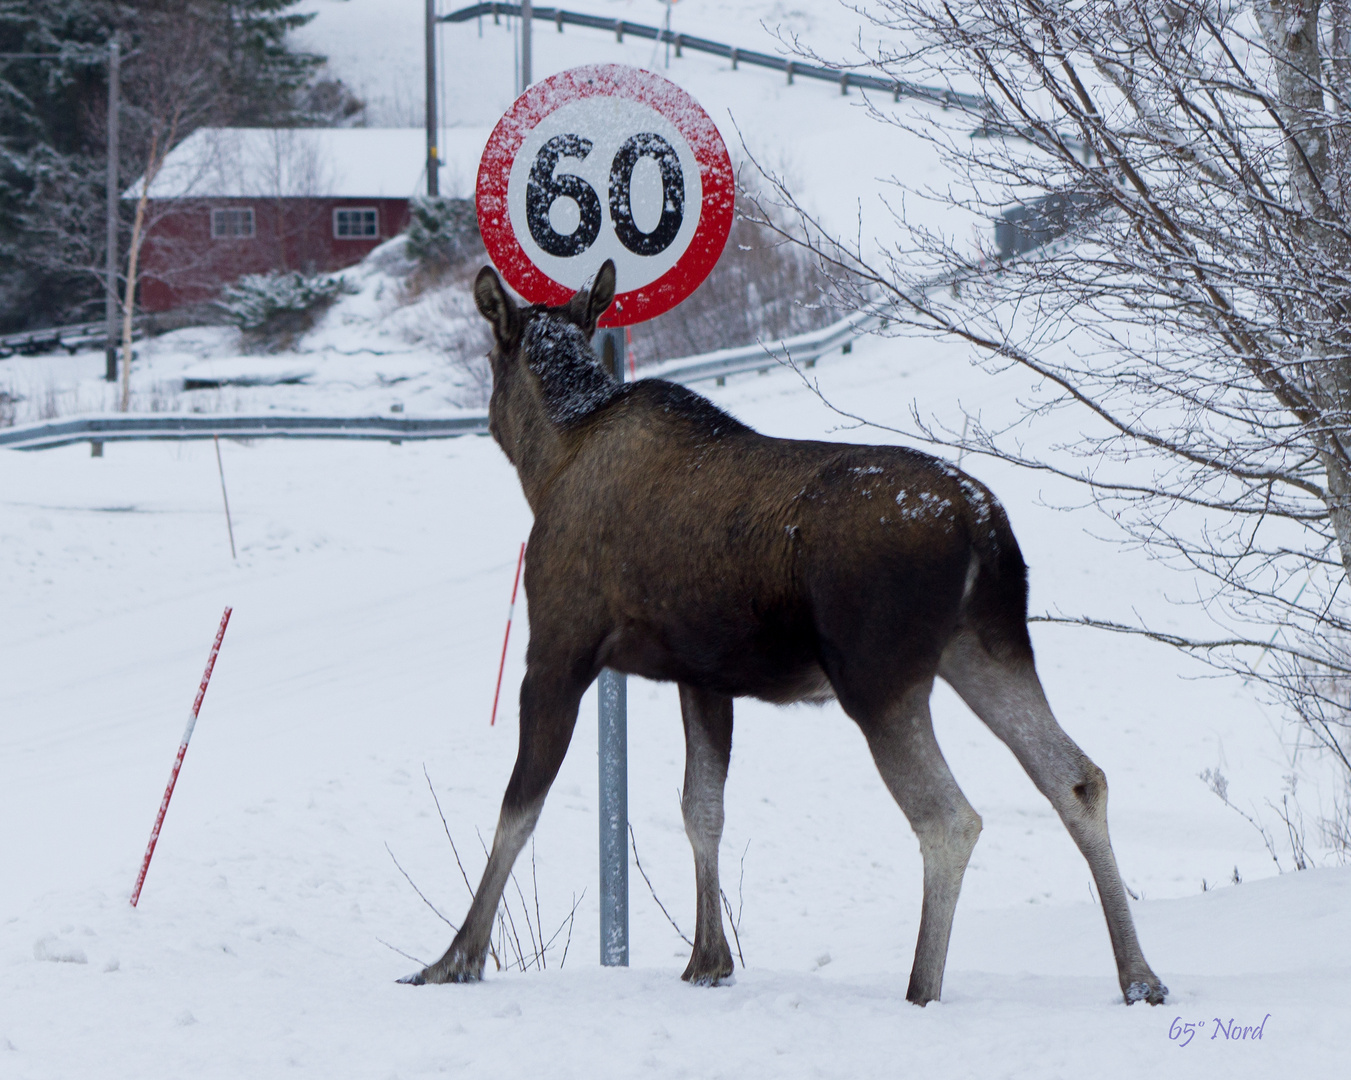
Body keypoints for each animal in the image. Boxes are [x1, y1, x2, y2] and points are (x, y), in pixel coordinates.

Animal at [397, 259, 1161, 1005]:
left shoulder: (558, 646)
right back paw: (1139, 977)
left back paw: (922, 987)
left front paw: (453, 961)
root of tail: (984, 526)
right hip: (986, 648)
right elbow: (701, 807)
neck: (548, 459)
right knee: (1075, 777)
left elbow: (518, 807)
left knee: (949, 817)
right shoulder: (701, 675)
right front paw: (708, 960)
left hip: (877, 674)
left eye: (489, 355)